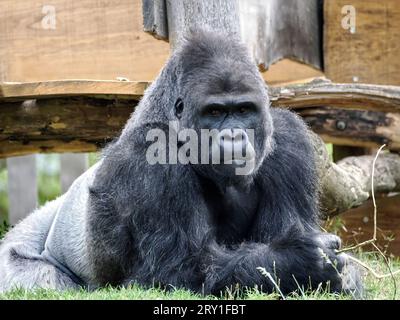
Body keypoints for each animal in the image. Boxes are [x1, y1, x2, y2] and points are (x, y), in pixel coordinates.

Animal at [0, 31, 362, 296]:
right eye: (214, 112)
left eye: (243, 110)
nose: (233, 136)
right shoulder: (149, 153)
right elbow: (180, 271)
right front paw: (299, 263)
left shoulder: (288, 141)